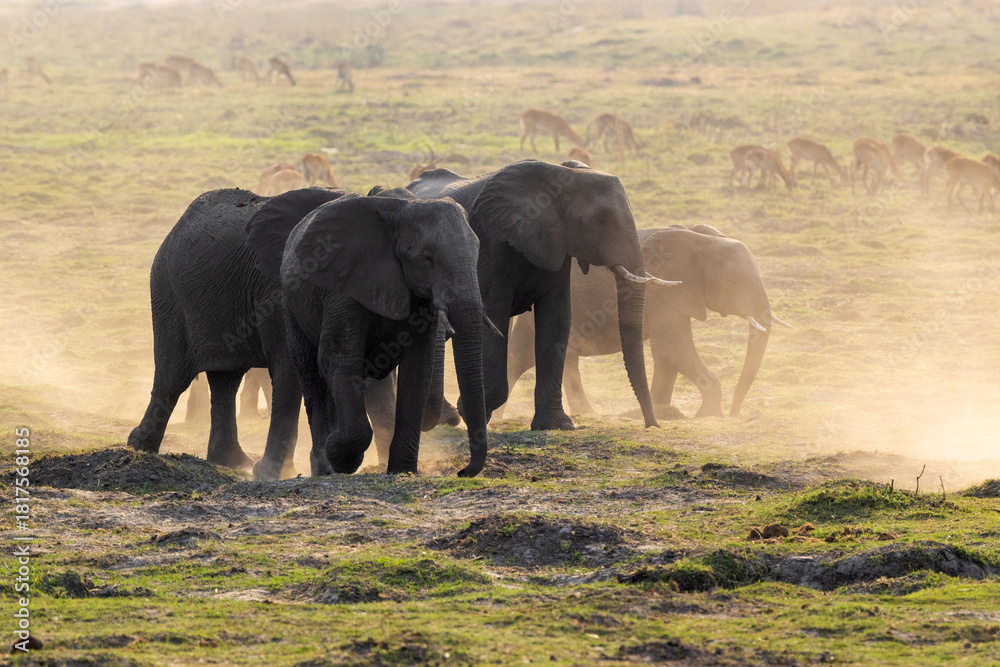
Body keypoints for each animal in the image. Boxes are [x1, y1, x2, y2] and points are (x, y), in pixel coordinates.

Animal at [128, 187, 356, 479]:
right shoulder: (274, 289)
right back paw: (140, 447)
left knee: (225, 380)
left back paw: (233, 463)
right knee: (173, 378)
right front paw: (272, 473)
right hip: (168, 292)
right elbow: (289, 367)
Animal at [247, 189, 491, 477]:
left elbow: (418, 371)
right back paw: (325, 466)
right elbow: (338, 361)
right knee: (311, 375)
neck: (403, 211)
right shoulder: (344, 290)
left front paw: (402, 472)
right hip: (292, 304)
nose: (462, 472)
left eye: (477, 253)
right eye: (427, 257)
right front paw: (339, 455)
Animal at [407, 160, 671, 430]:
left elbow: (557, 318)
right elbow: (493, 316)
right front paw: (474, 412)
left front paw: (556, 425)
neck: (561, 175)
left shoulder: (557, 246)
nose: (652, 425)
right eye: (600, 220)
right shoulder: (494, 243)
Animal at [502, 225, 789, 418]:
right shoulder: (661, 292)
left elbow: (667, 357)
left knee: (519, 357)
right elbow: (672, 348)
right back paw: (589, 415)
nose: (733, 414)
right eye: (733, 282)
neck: (701, 241)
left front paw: (662, 410)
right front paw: (707, 416)